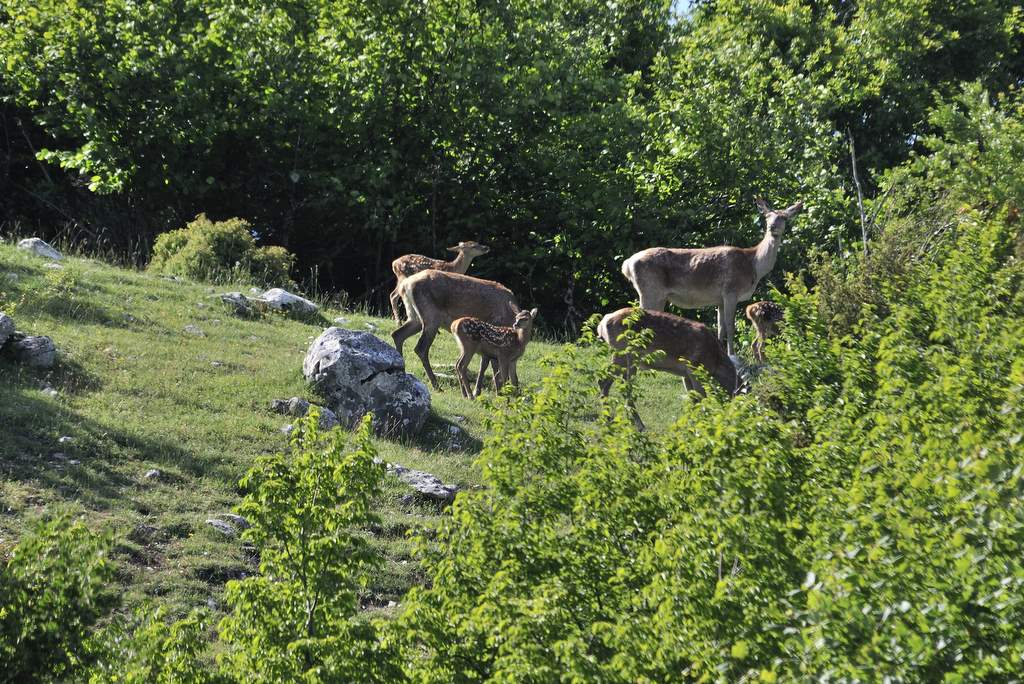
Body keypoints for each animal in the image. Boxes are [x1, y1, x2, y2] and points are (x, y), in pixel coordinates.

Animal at [391, 270, 520, 393]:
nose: (516, 390)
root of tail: (405, 284)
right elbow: (488, 364)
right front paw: (486, 390)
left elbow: (486, 363)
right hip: (431, 317)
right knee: (420, 348)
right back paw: (436, 386)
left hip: (414, 317)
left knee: (397, 334)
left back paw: (401, 370)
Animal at [598, 305, 737, 428]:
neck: (715, 361)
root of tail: (602, 324)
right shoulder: (695, 369)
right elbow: (701, 398)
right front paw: (704, 424)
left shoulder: (685, 375)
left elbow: (693, 400)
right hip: (624, 353)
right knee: (609, 383)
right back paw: (628, 423)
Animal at [618, 197, 802, 356]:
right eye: (767, 217)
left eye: (784, 217)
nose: (773, 227)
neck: (754, 265)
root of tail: (627, 264)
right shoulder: (731, 290)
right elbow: (730, 326)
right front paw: (732, 354)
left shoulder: (719, 299)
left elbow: (720, 327)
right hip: (650, 289)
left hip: (655, 294)